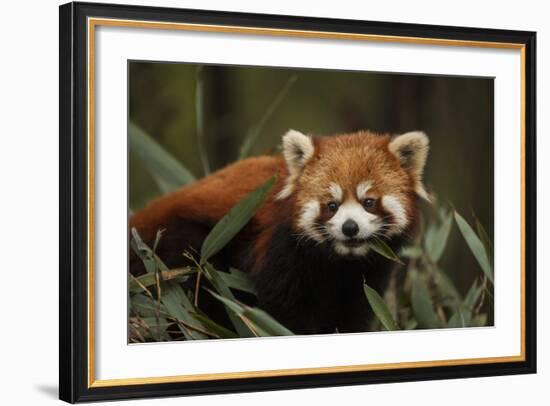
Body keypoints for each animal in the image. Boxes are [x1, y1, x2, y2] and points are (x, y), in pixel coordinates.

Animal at [130, 129, 432, 334]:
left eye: (368, 202)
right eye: (331, 205)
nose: (350, 228)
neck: (338, 261)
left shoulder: (368, 273)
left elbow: (355, 310)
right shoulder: (282, 250)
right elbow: (285, 309)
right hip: (185, 247)